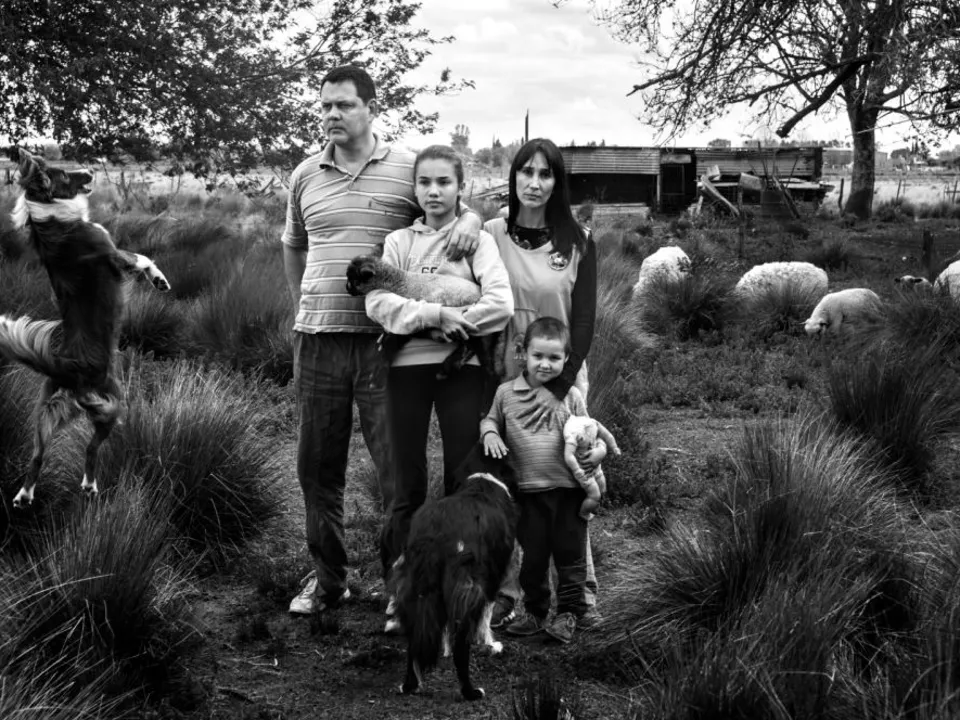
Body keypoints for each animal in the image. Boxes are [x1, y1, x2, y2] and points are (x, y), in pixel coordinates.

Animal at [1, 149, 171, 508]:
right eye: (65, 175)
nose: (92, 169)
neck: (49, 211)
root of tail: (69, 370)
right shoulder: (115, 255)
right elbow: (142, 256)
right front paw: (159, 280)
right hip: (113, 404)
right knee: (92, 449)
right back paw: (89, 485)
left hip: (46, 412)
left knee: (37, 455)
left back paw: (24, 495)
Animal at [345, 252, 503, 380]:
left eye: (355, 280)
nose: (347, 289)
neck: (399, 282)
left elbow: (393, 340)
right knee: (468, 348)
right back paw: (446, 368)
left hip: (478, 331)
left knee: (484, 359)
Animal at [389, 448, 518, 701]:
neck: (483, 477)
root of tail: (435, 537)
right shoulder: (491, 577)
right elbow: (486, 617)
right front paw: (490, 645)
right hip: (467, 586)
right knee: (461, 648)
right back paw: (470, 691)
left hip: (412, 587)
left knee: (414, 639)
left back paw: (410, 685)